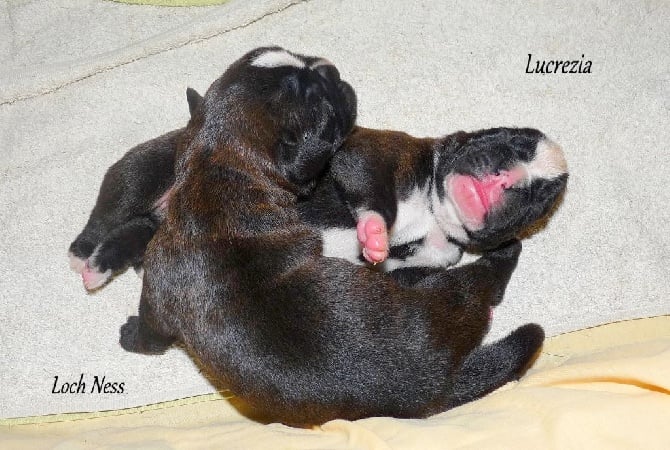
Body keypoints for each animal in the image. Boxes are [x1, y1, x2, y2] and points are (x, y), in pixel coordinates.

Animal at [115, 47, 544, 428]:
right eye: (325, 113)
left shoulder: (157, 293)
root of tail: (429, 392)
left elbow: (151, 329)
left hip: (451, 294)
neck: (220, 168)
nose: (331, 69)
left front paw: (130, 334)